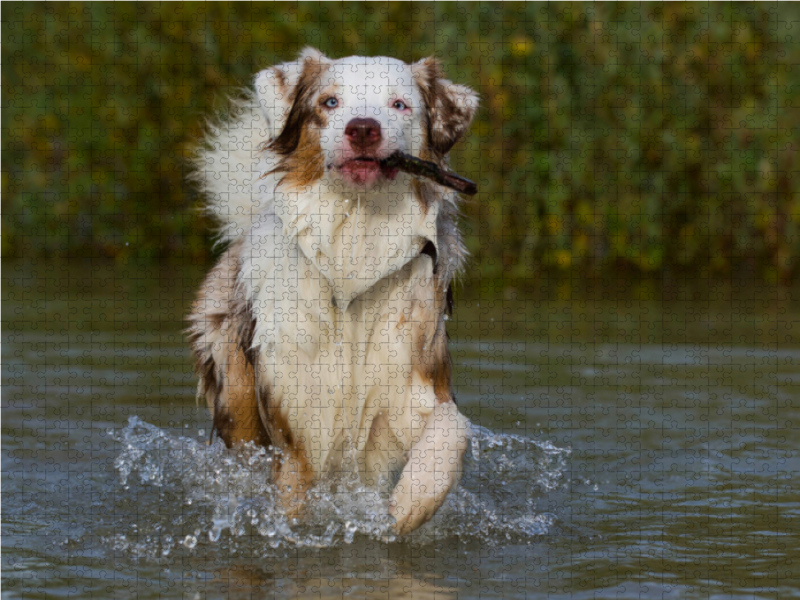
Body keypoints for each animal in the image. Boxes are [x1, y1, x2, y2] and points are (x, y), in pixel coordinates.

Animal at [185, 48, 478, 536]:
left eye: (400, 104)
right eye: (330, 102)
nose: (362, 128)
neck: (354, 244)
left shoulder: (414, 376)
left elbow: (452, 425)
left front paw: (414, 499)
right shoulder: (297, 424)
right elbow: (293, 497)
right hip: (236, 393)